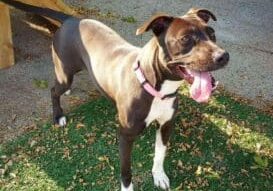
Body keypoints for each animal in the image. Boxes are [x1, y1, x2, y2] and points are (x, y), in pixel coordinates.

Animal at [2, 0, 227, 190]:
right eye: (186, 39)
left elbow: (159, 154)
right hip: (65, 72)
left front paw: (159, 176)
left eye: (212, 33)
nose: (223, 56)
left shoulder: (166, 125)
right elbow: (126, 172)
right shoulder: (125, 136)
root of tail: (71, 19)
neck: (155, 88)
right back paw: (58, 115)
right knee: (53, 90)